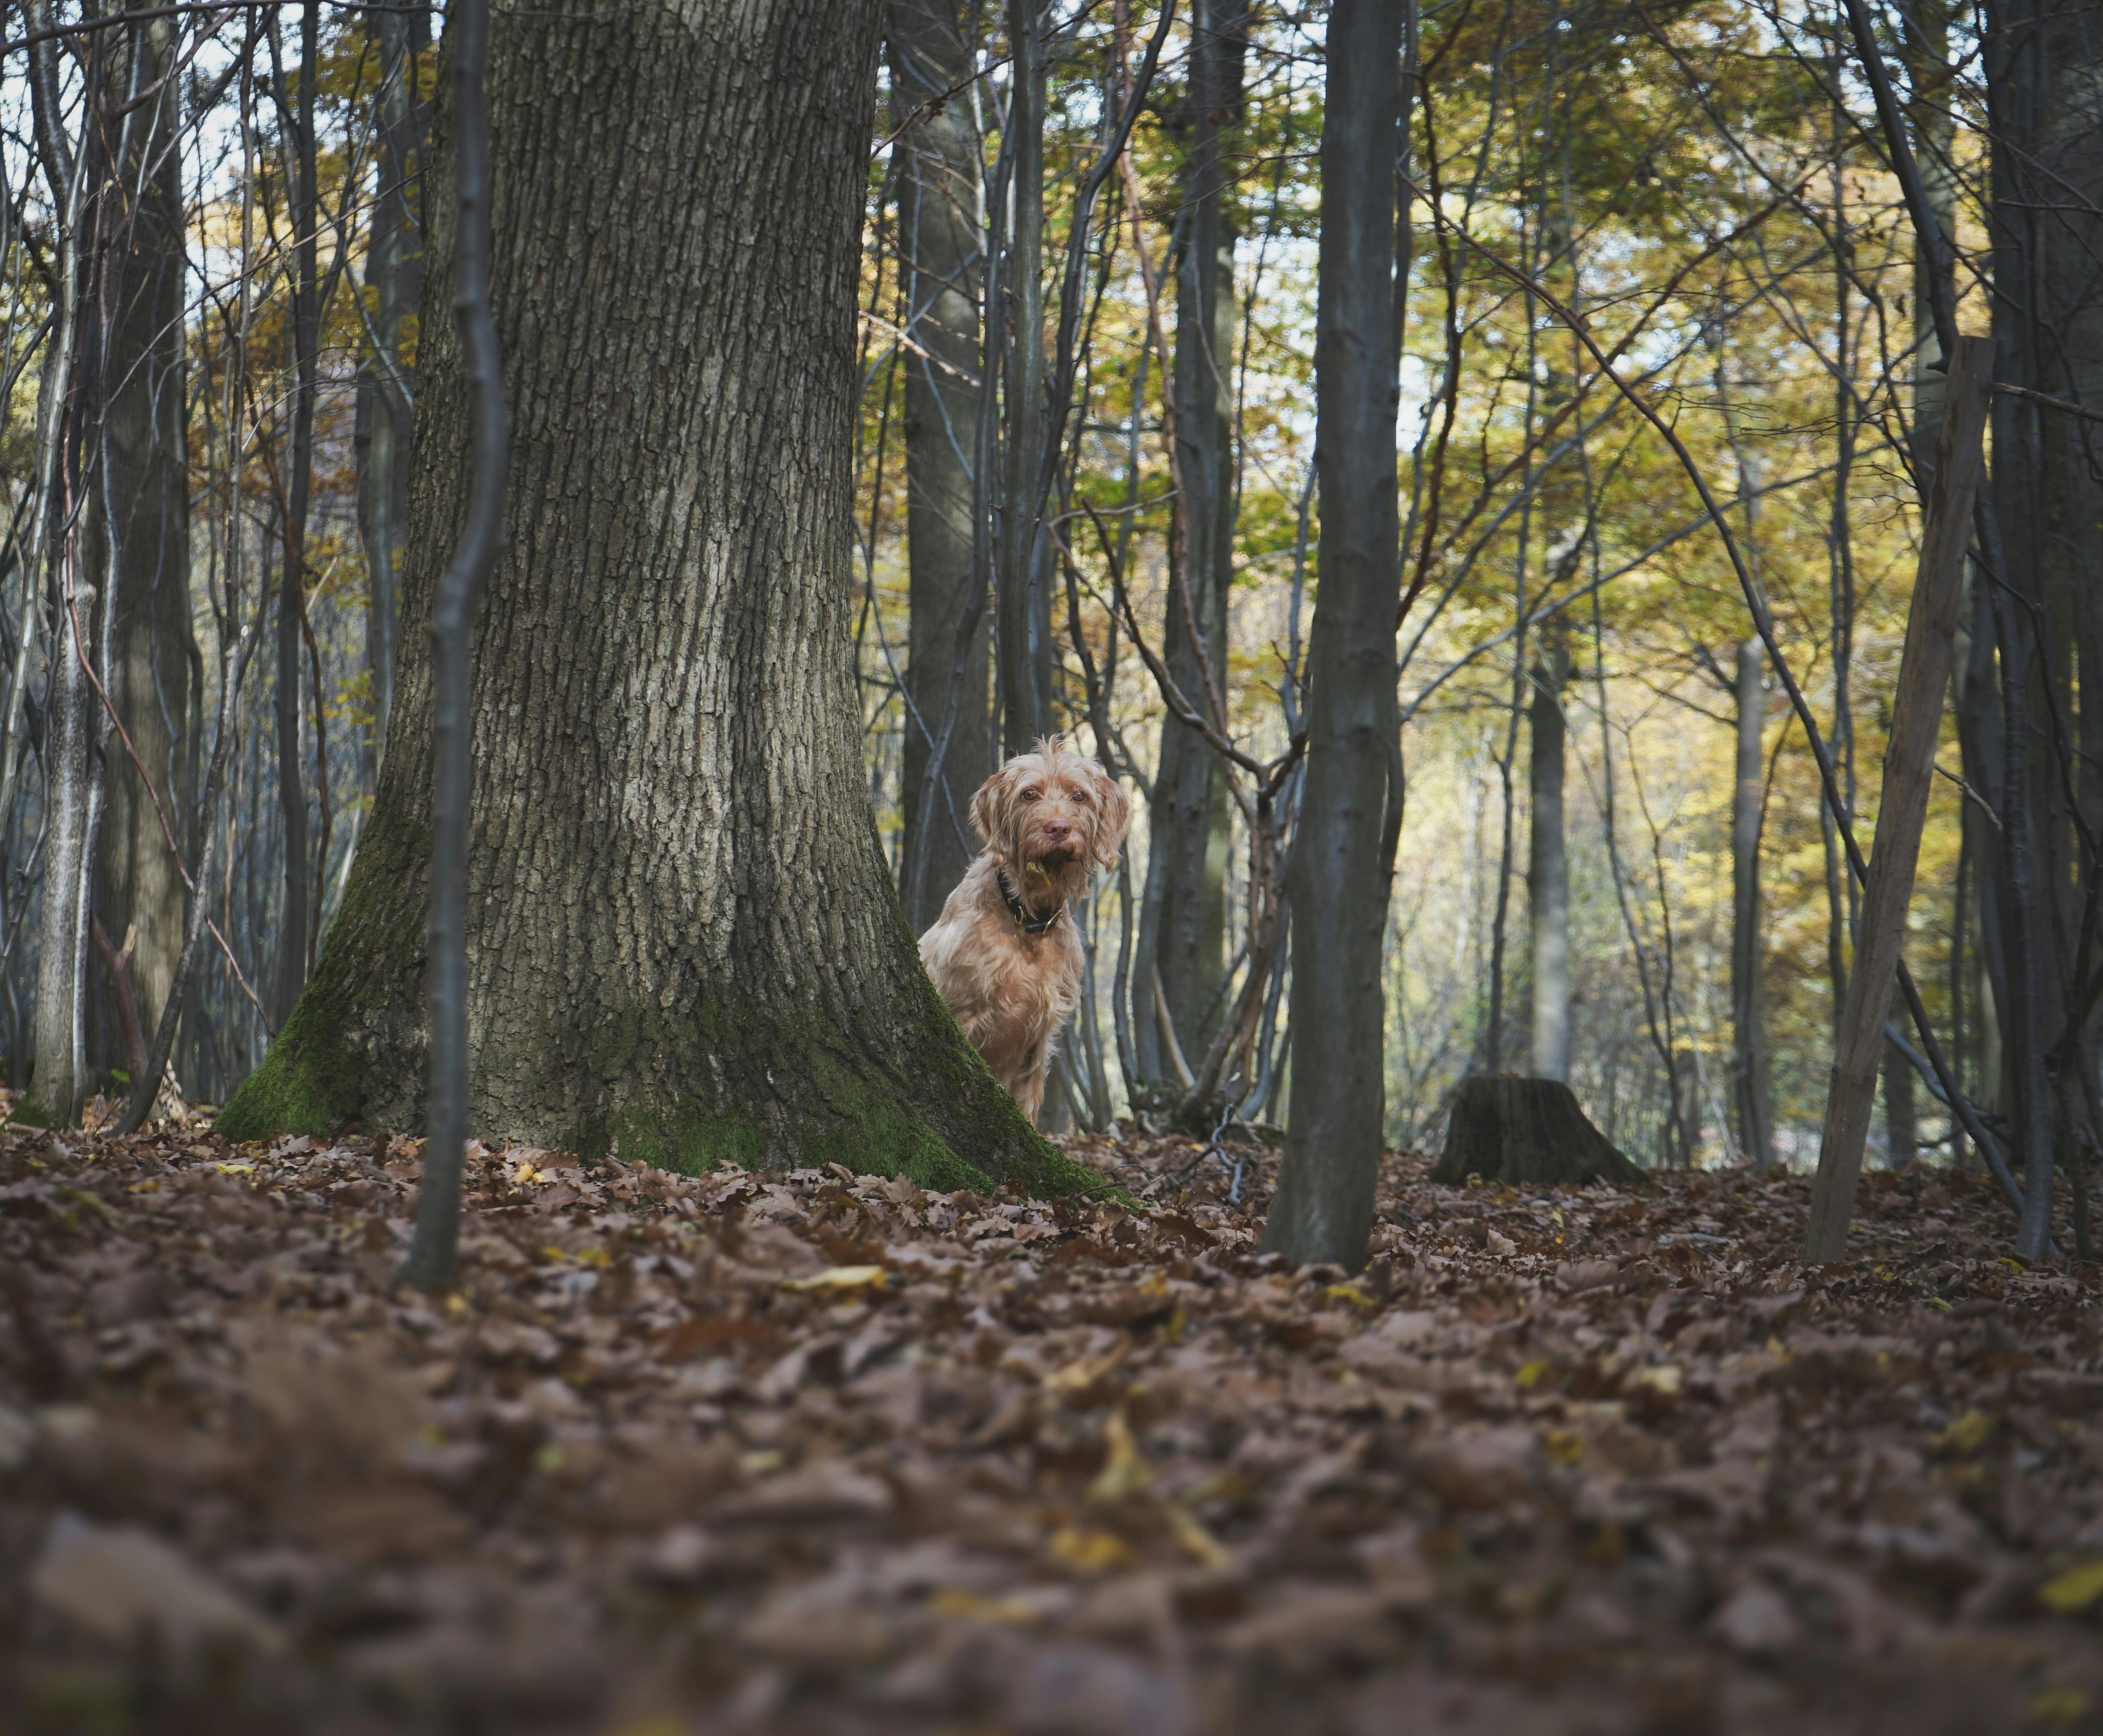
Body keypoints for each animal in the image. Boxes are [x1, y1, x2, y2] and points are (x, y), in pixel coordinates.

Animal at [913, 736, 1127, 1128]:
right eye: (1029, 795)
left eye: (1079, 796)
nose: (1058, 828)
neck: (1029, 920)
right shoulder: (962, 1016)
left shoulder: (1039, 1038)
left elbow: (1028, 1098)